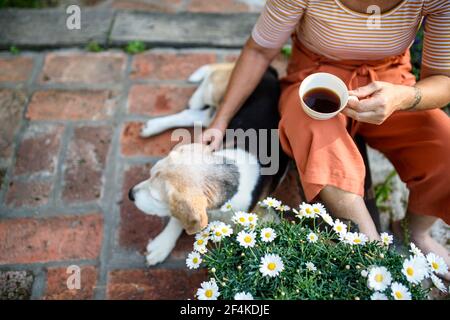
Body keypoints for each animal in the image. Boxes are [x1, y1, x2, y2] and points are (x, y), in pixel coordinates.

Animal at [127, 63, 288, 264]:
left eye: (155, 197)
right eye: (148, 175)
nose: (130, 194)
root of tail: (271, 72)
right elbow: (178, 219)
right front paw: (162, 244)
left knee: (198, 115)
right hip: (218, 93)